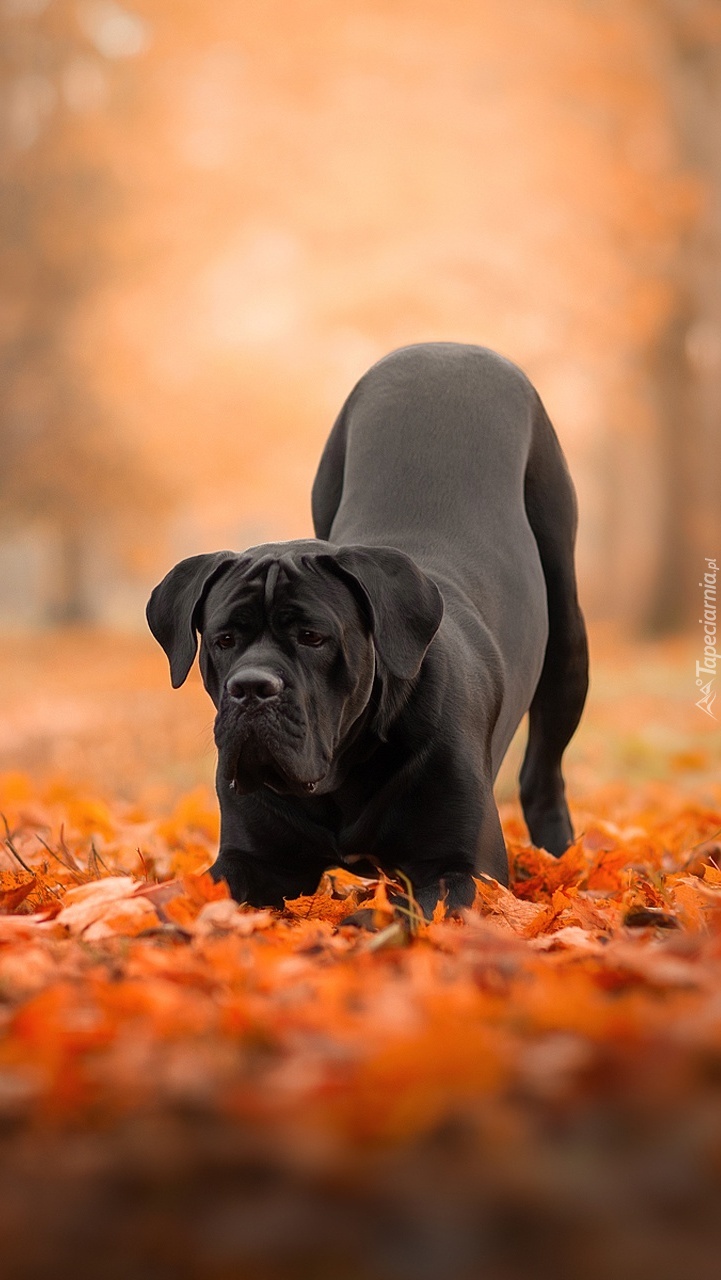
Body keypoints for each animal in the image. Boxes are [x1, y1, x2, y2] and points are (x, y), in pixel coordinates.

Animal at [145, 345, 586, 916]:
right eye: (223, 640)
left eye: (312, 637)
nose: (251, 689)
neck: (342, 777)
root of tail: (448, 347)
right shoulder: (252, 858)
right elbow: (190, 891)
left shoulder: (459, 866)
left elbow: (409, 910)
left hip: (567, 629)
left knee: (544, 772)